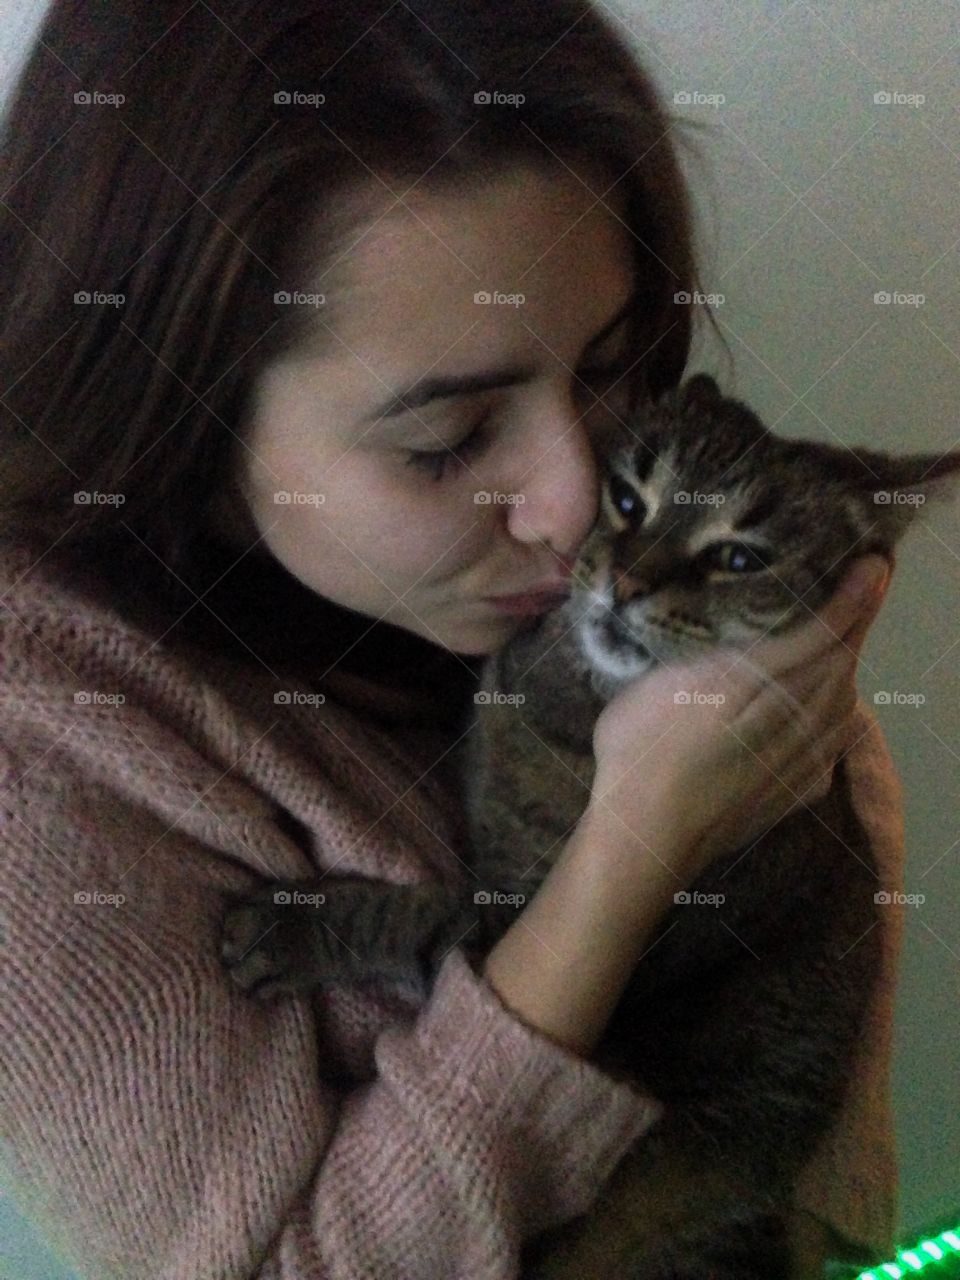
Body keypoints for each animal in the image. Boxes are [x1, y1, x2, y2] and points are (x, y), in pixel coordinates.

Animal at [220, 371, 960, 1280]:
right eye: (628, 500)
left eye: (739, 558)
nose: (627, 583)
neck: (565, 696)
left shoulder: (510, 925)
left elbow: (405, 915)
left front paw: (289, 928)